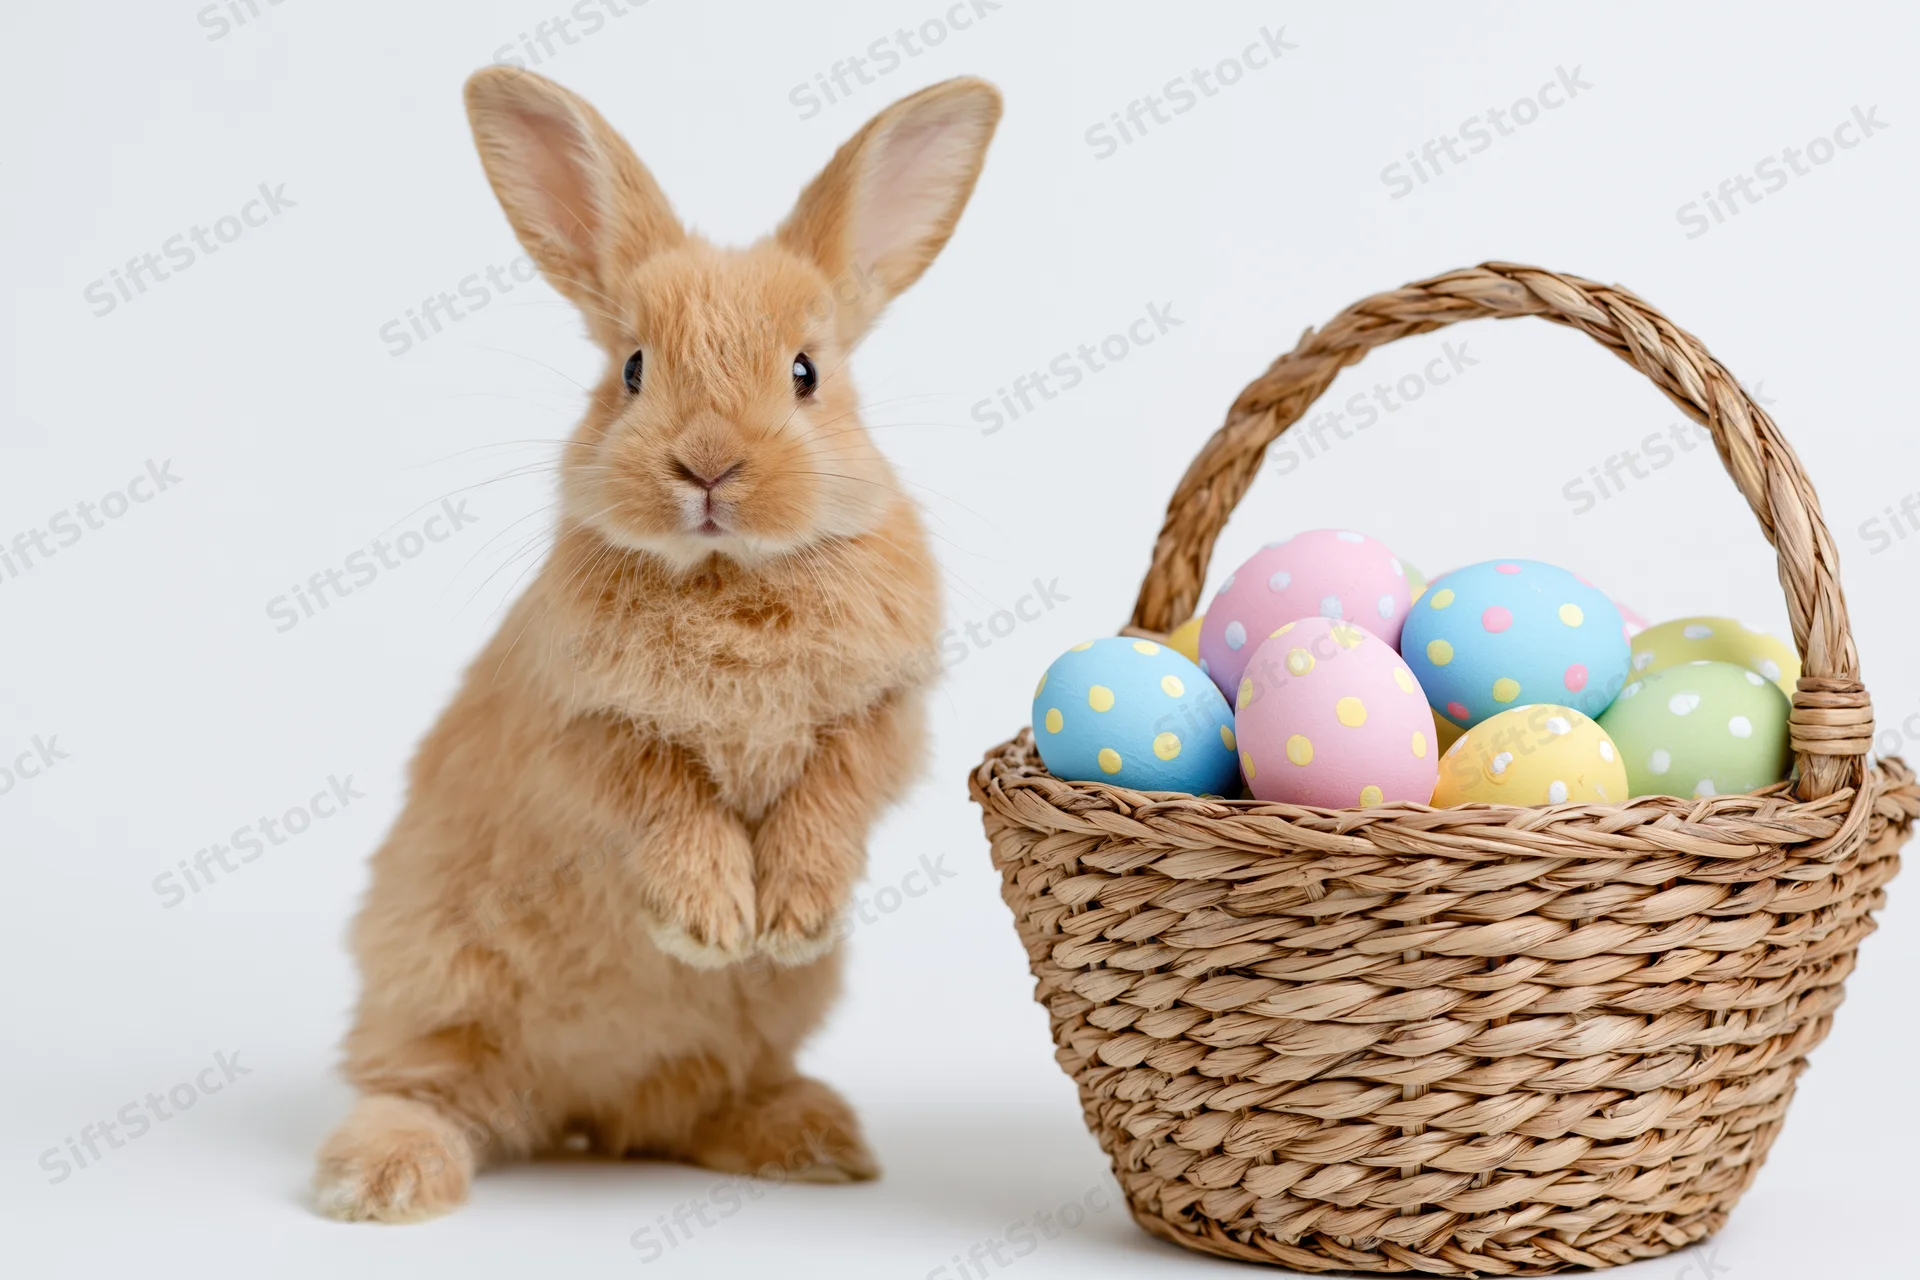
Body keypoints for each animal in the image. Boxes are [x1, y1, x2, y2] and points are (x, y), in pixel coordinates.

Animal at [311, 65, 1001, 1223]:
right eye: (632, 370)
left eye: (807, 372)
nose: (708, 462)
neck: (729, 573)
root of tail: (583, 1105)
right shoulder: (587, 733)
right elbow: (668, 809)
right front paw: (715, 923)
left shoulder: (876, 722)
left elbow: (829, 801)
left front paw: (792, 916)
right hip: (435, 986)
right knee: (422, 1090)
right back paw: (380, 1178)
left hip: (747, 1034)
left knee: (687, 1113)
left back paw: (810, 1138)